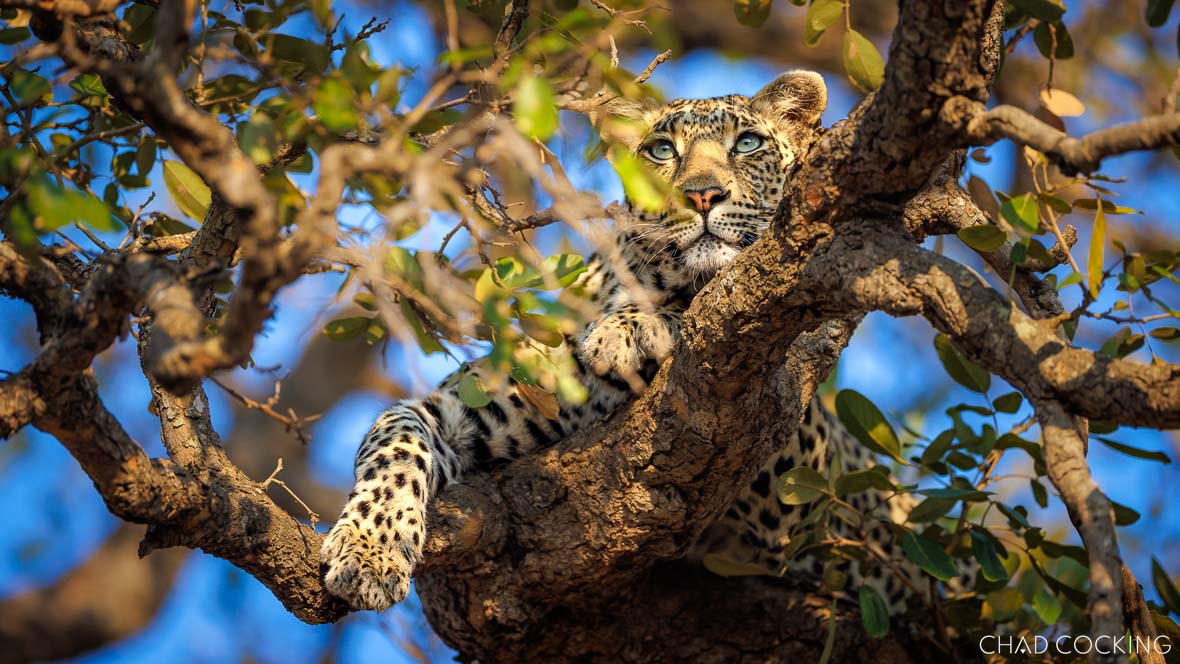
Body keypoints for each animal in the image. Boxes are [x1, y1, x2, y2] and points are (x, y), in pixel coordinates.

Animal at [320, 70, 932, 618]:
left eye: (748, 144)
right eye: (661, 150)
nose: (702, 195)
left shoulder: (796, 454)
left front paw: (630, 328)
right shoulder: (461, 408)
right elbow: (397, 441)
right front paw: (369, 552)